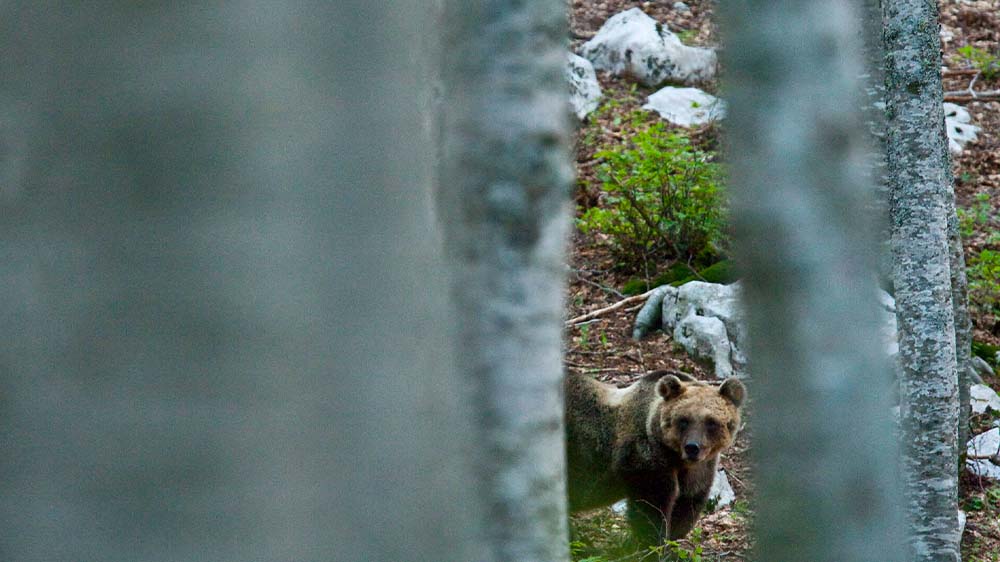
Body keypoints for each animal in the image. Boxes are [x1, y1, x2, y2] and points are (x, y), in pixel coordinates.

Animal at [564, 370, 744, 544]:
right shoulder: (646, 458)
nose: (692, 447)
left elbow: (687, 503)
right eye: (683, 420)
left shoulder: (699, 469)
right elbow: (652, 505)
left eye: (711, 422)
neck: (676, 457)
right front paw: (650, 541)